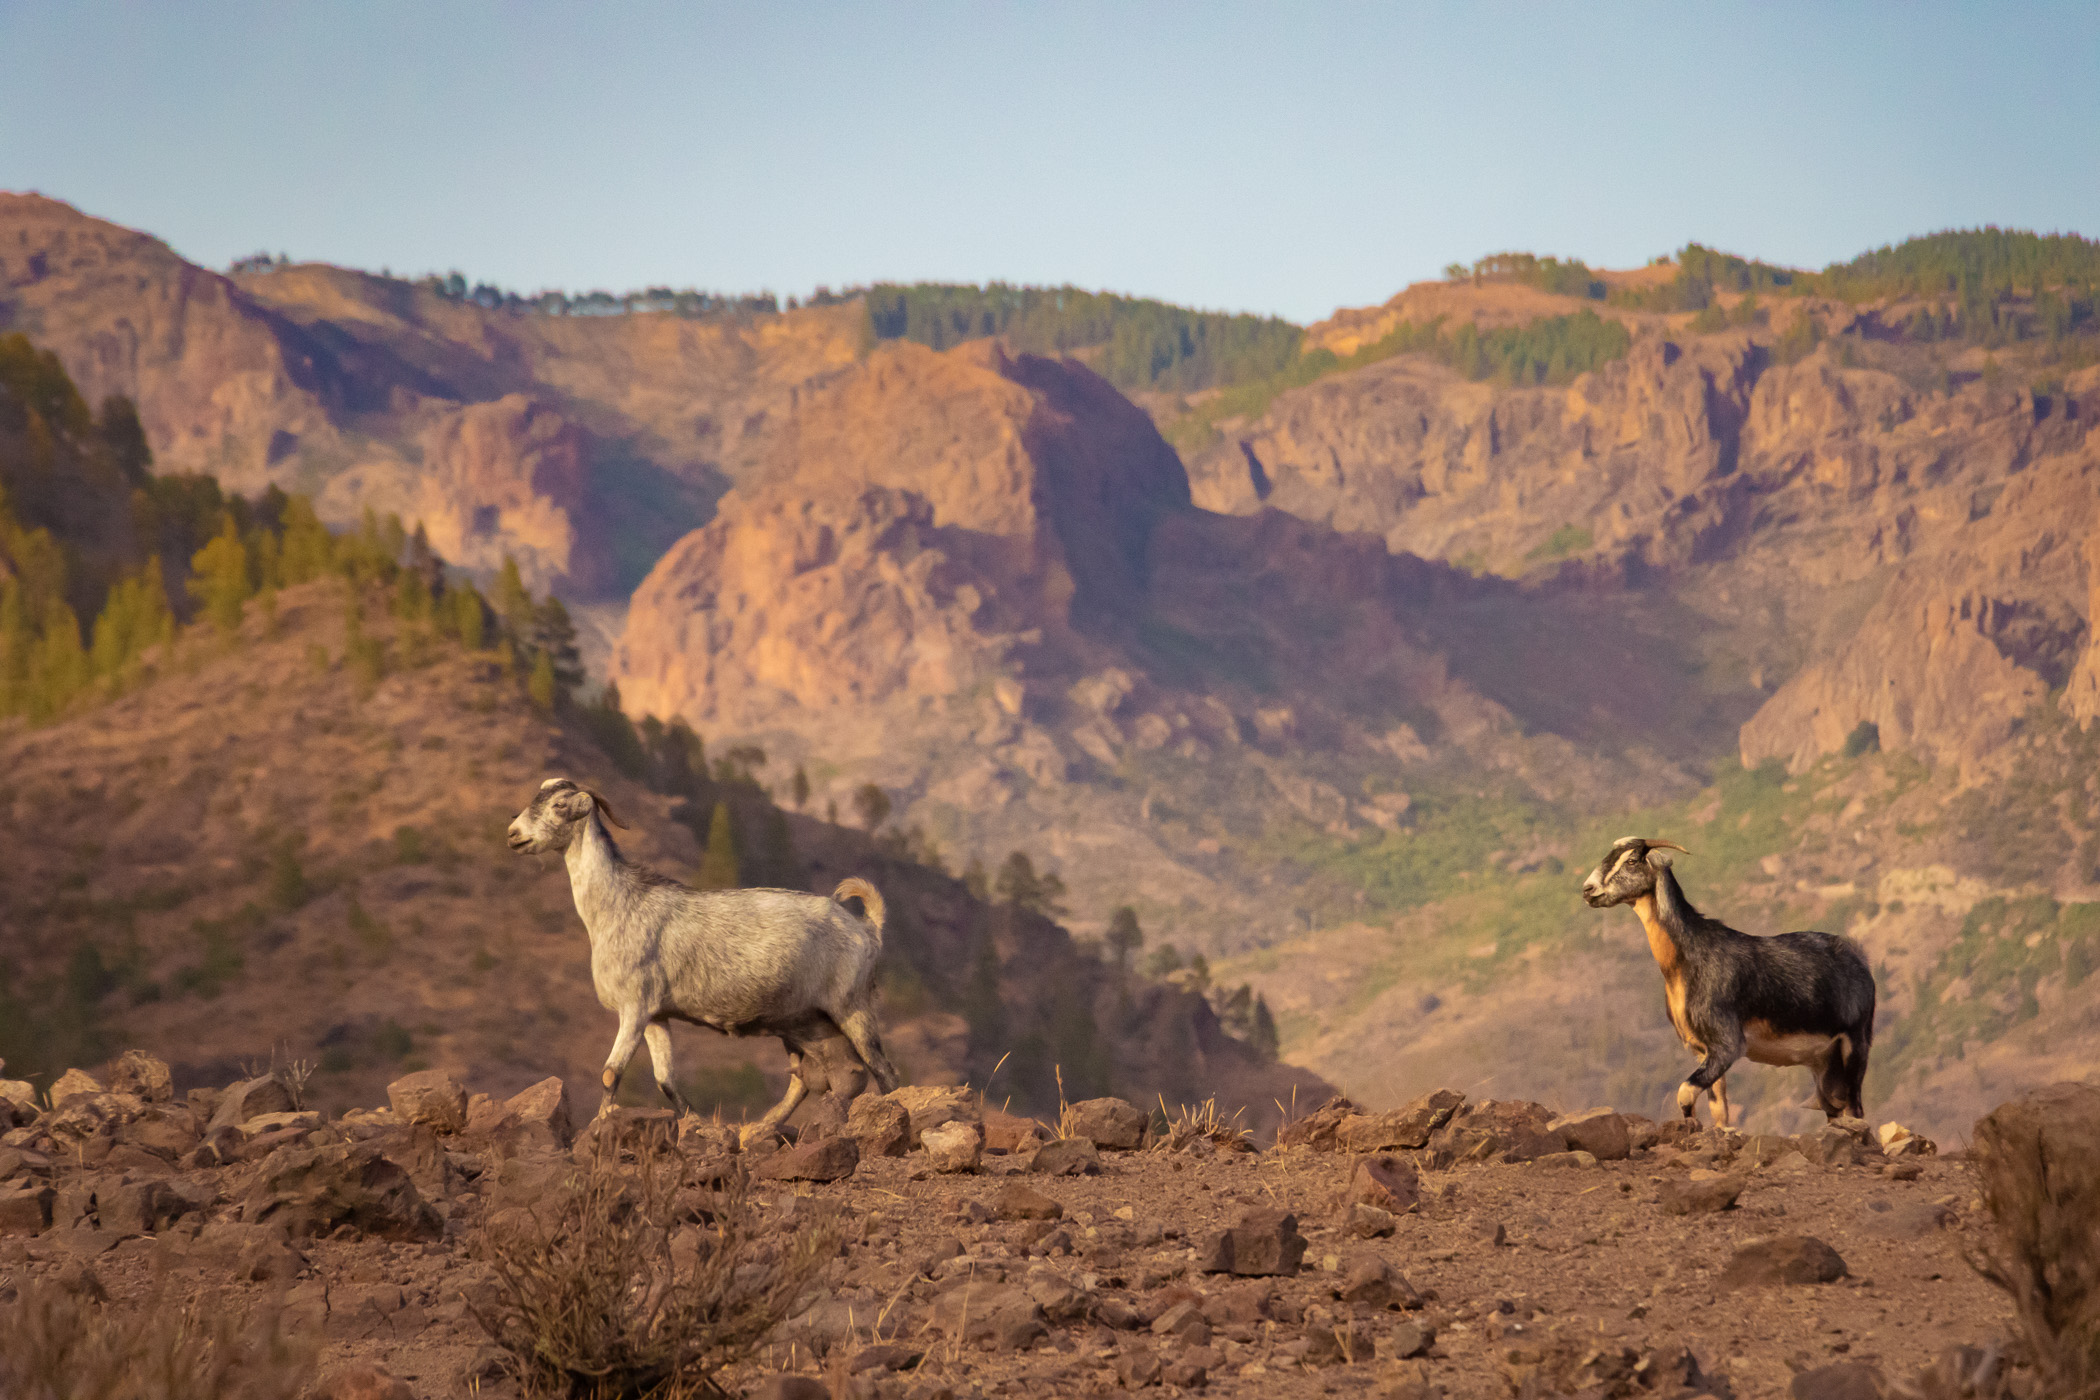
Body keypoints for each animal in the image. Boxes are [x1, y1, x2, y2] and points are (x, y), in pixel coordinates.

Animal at [514, 776, 902, 1125]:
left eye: (559, 805)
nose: (513, 835)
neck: (620, 905)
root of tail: (867, 929)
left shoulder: (635, 1007)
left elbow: (611, 1072)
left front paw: (602, 1119)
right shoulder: (656, 1015)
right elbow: (665, 1080)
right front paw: (696, 1121)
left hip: (851, 1007)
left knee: (883, 1070)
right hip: (802, 1023)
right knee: (811, 1079)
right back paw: (761, 1129)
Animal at [1579, 831, 1881, 1125]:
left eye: (1631, 860)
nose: (1588, 890)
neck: (1688, 959)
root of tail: (1859, 959)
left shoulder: (1728, 1042)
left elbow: (1685, 1094)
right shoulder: (1702, 1049)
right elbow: (1719, 1111)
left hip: (1856, 1042)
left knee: (1855, 1108)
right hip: (1824, 1061)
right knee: (1834, 1107)